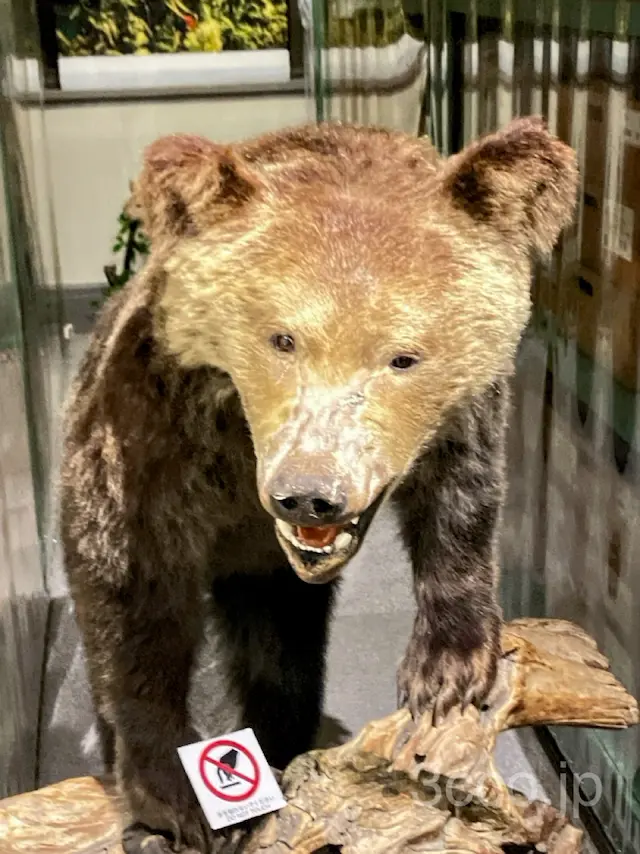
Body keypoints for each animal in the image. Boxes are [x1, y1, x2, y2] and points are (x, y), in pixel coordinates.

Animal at [59, 116, 578, 854]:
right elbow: (130, 594)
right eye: (281, 338)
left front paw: (446, 672)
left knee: (282, 642)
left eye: (403, 356)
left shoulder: (463, 417)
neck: (237, 449)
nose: (309, 491)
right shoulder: (150, 442)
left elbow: (463, 505)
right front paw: (173, 799)